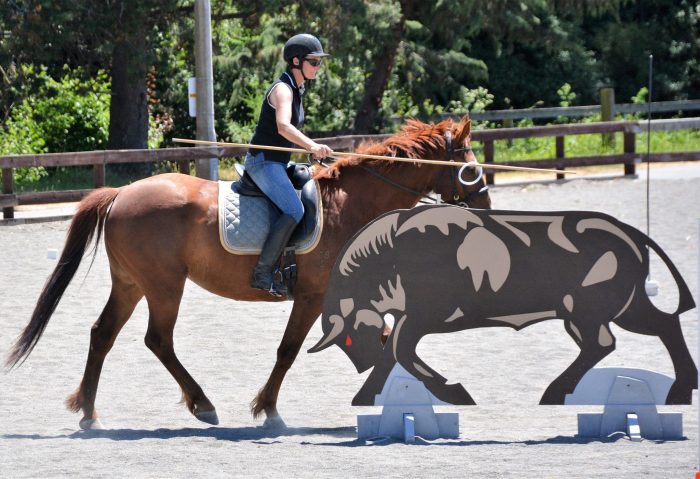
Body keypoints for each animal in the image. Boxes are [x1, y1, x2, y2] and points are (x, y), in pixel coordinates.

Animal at [5, 117, 490, 432]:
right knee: (158, 340)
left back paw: (88, 411)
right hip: (164, 286)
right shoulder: (313, 296)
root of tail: (121, 193)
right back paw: (201, 405)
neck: (351, 205)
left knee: (102, 333)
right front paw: (268, 410)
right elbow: (288, 350)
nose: (484, 205)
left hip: (131, 284)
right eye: (468, 163)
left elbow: (388, 339)